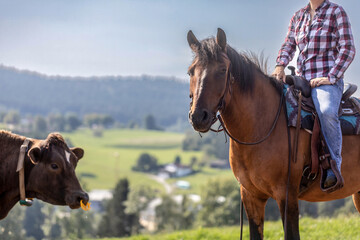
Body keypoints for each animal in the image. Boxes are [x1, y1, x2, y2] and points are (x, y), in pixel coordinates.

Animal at [187, 27, 360, 239]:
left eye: (222, 70)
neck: (260, 127)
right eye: (191, 71)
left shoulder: (286, 196)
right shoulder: (251, 196)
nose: (198, 116)